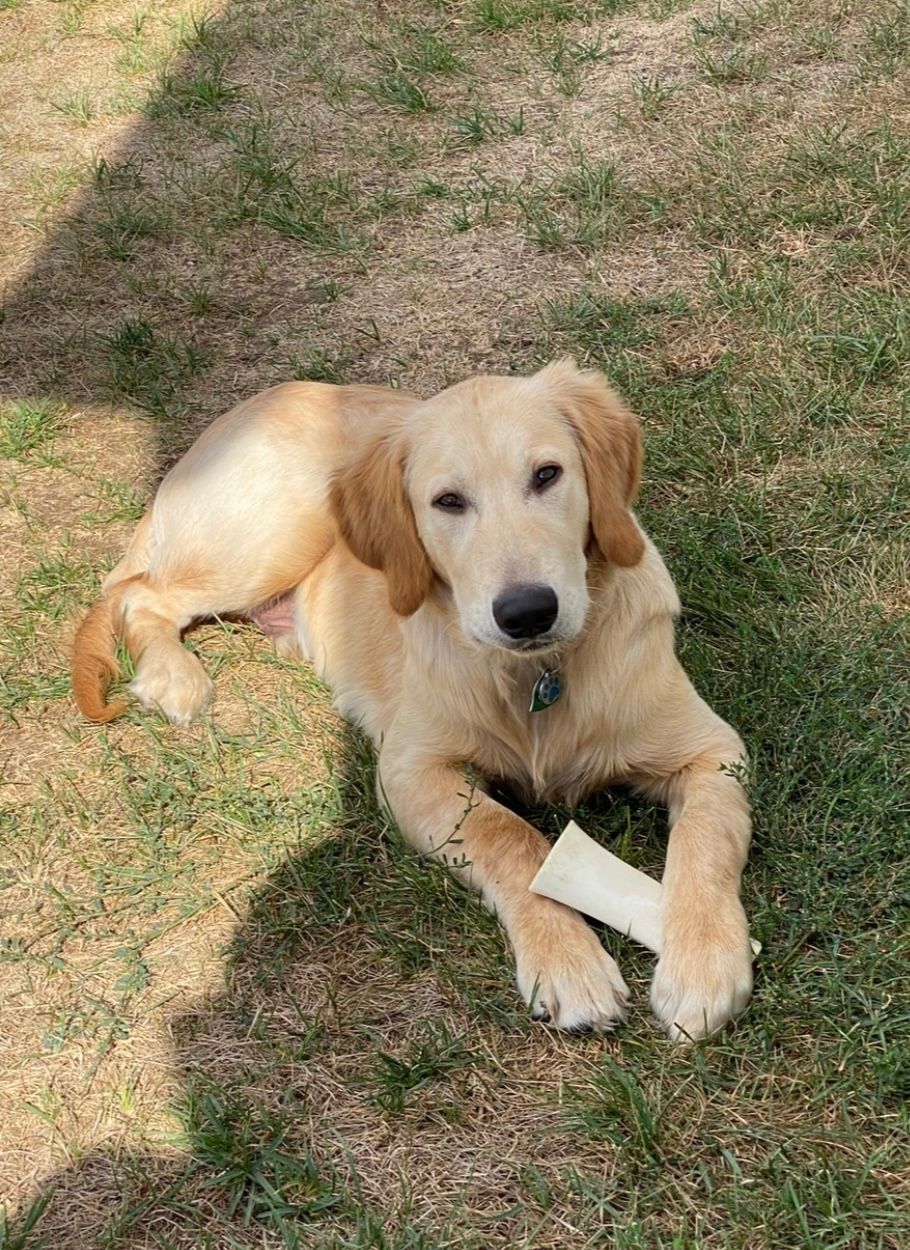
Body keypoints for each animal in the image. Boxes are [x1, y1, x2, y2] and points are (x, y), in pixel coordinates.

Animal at [72, 365, 755, 1045]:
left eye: (547, 474)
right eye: (448, 501)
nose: (527, 612)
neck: (536, 677)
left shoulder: (713, 751)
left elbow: (703, 846)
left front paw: (704, 965)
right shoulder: (411, 771)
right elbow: (512, 837)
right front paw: (568, 962)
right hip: (270, 536)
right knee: (135, 592)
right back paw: (175, 677)